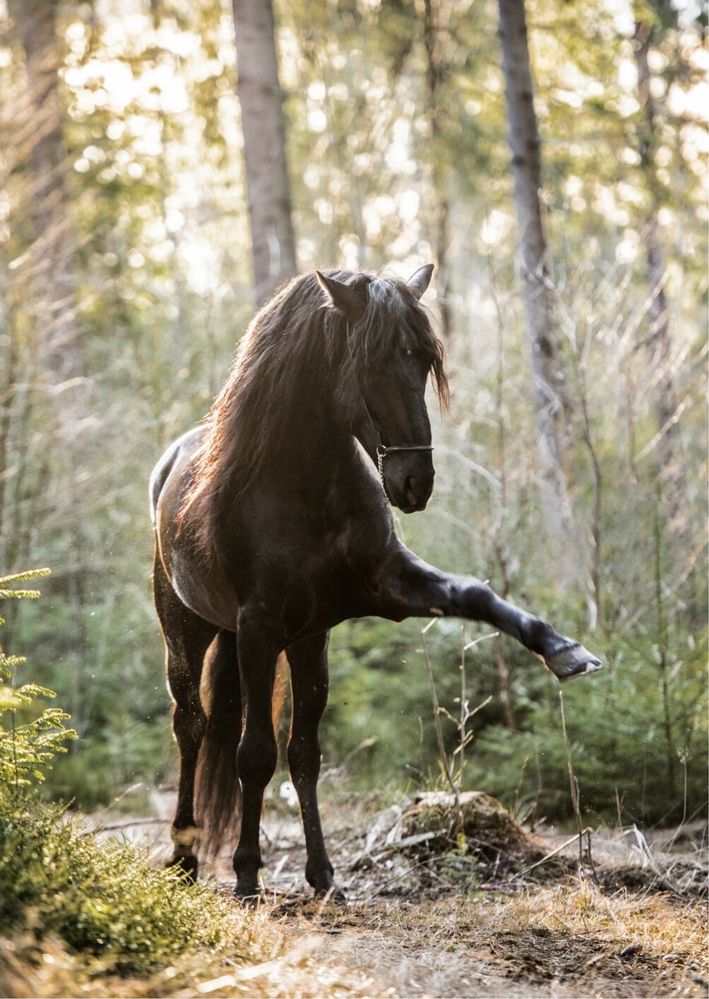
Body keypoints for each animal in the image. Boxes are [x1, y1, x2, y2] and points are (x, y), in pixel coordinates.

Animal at [152, 266, 600, 900]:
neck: (304, 491)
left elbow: (475, 595)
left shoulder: (379, 588)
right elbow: (254, 754)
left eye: (424, 362)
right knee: (190, 729)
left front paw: (564, 650)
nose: (416, 483)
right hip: (187, 633)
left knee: (295, 751)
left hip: (304, 644)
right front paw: (246, 874)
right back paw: (186, 856)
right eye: (371, 362)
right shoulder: (259, 626)